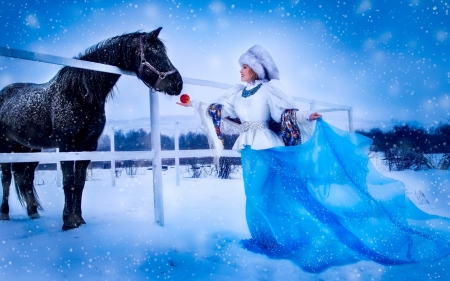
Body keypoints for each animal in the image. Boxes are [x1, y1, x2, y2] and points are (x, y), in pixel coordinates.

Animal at [0, 26, 183, 230]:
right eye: (154, 52)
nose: (178, 83)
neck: (79, 93)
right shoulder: (66, 146)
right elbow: (68, 182)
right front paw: (68, 222)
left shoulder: (89, 146)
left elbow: (79, 183)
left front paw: (79, 219)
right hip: (6, 147)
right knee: (6, 178)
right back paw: (5, 213)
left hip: (30, 150)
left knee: (25, 178)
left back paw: (33, 212)